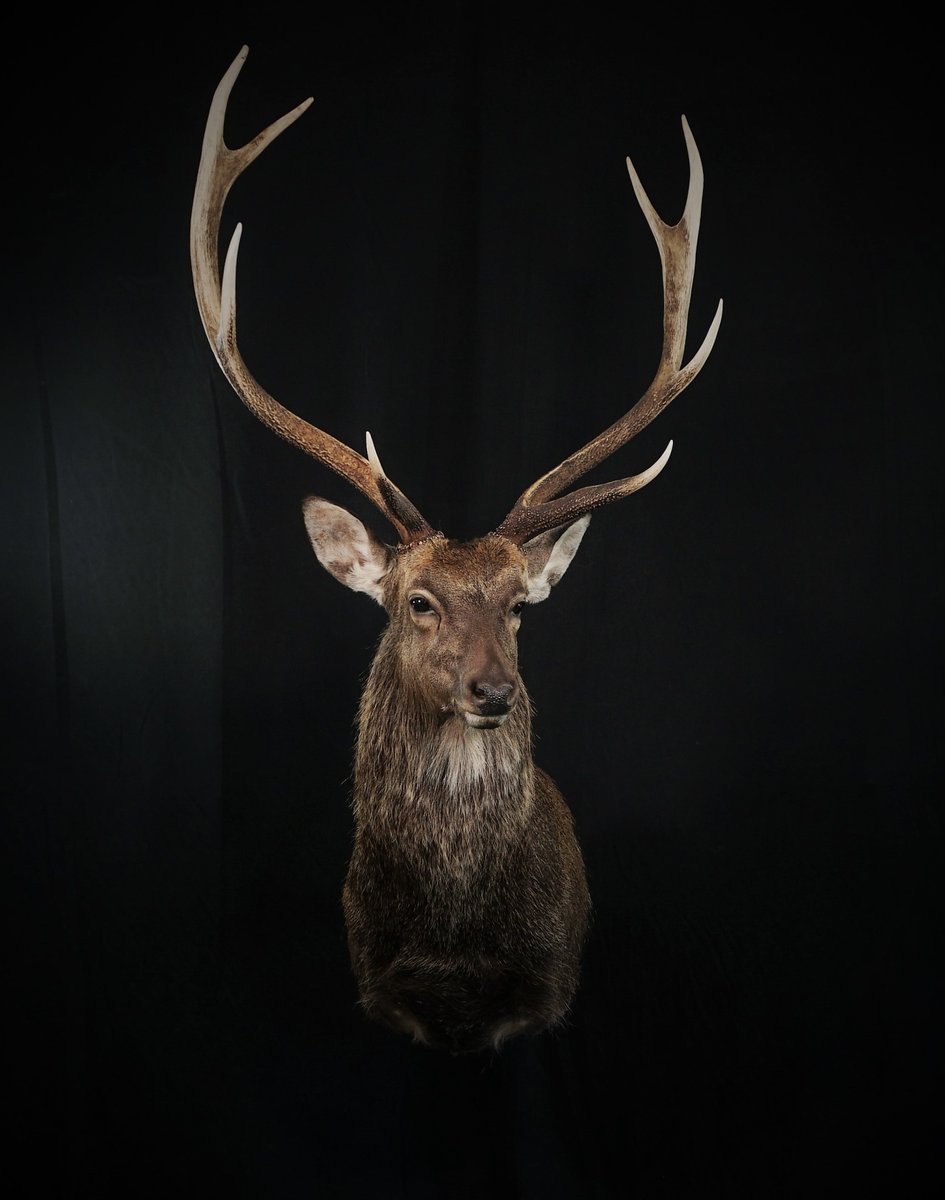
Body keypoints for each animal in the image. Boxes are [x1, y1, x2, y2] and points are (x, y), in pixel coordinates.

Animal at [190, 46, 722, 1055]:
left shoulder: (546, 988)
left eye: (520, 606)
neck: (457, 939)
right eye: (417, 601)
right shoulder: (377, 986)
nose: (493, 690)